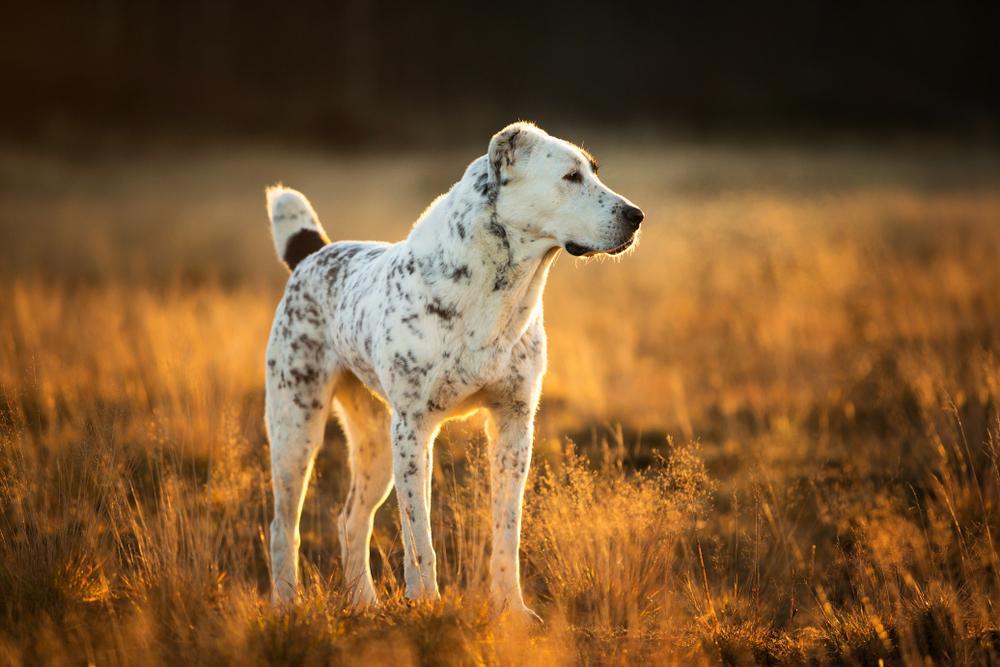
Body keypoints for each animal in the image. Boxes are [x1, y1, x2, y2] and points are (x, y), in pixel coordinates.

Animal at [262, 120, 644, 620]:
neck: (496, 293)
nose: (637, 216)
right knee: (283, 527)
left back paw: (365, 605)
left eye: (594, 171)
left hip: (375, 444)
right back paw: (286, 605)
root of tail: (311, 253)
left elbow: (507, 530)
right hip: (297, 430)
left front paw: (512, 609)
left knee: (351, 521)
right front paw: (426, 604)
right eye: (570, 177)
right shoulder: (414, 430)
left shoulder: (514, 425)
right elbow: (419, 537)